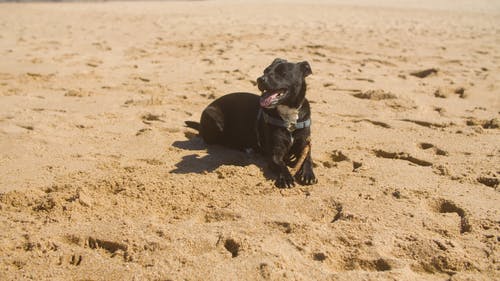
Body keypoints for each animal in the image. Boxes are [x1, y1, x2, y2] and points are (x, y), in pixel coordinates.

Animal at [186, 58, 318, 187]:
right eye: (265, 71)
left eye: (282, 73)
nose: (260, 79)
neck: (290, 117)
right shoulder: (275, 154)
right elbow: (281, 165)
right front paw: (286, 177)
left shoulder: (304, 145)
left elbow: (308, 159)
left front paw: (308, 174)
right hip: (214, 117)